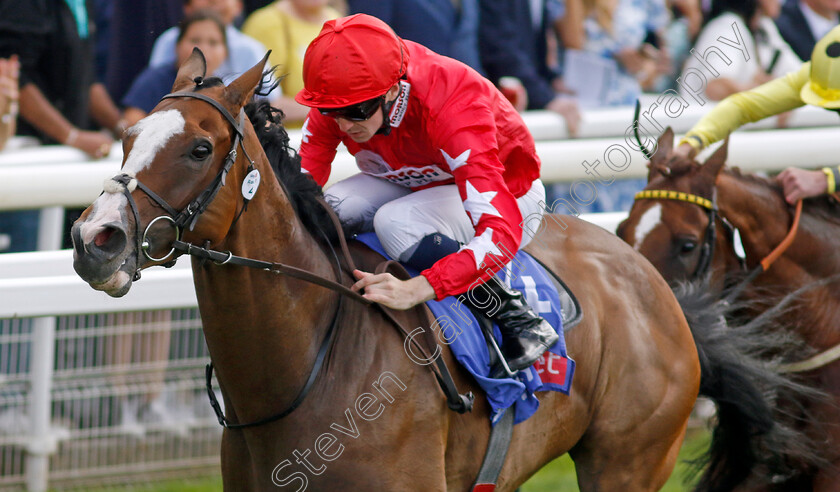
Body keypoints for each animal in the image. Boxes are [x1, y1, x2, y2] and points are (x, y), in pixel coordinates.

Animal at [72, 52, 788, 490]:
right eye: (128, 137)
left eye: (199, 148)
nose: (94, 239)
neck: (302, 371)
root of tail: (653, 282)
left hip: (628, 461)